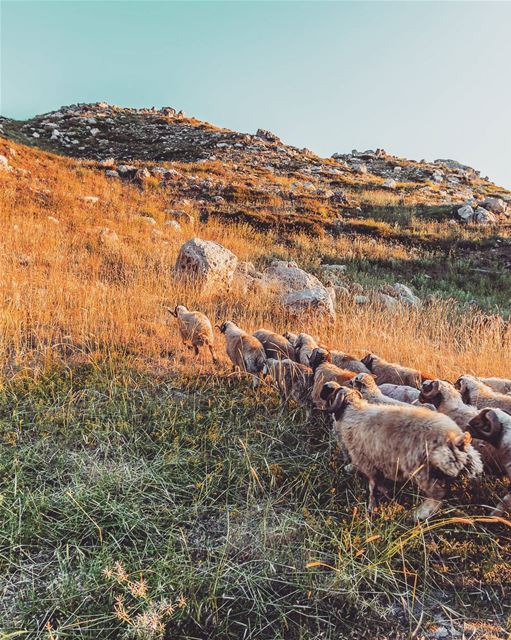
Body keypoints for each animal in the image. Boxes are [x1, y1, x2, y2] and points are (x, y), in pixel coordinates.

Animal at [322, 380, 482, 520]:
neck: (353, 410)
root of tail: (456, 438)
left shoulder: (368, 463)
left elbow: (373, 486)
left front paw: (372, 507)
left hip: (423, 471)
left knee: (438, 495)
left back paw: (419, 514)